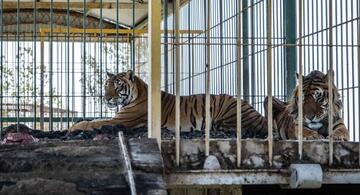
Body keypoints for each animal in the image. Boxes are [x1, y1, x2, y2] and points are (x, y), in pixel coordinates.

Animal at [69, 69, 268, 138]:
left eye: (117, 85)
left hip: (225, 104)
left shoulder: (121, 120)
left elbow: (93, 122)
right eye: (106, 85)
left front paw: (73, 127)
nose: (106, 98)